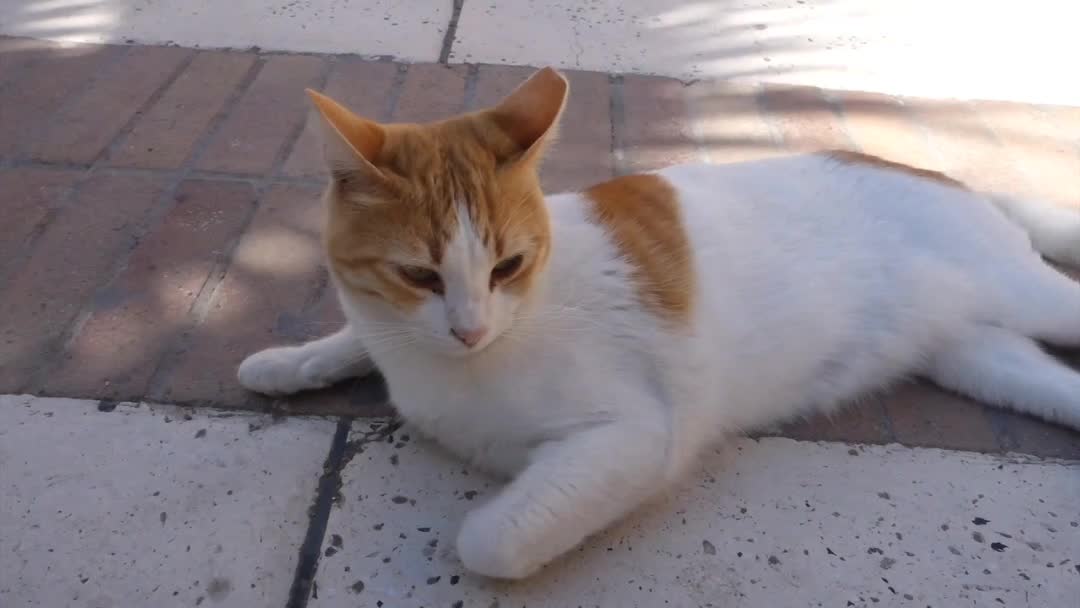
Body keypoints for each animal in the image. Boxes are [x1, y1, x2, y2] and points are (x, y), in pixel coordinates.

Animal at [236, 65, 1080, 578]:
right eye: (419, 275)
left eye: (507, 265)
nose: (470, 330)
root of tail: (947, 178)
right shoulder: (393, 327)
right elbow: (355, 338)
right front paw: (288, 362)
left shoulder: (637, 435)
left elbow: (488, 540)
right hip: (983, 360)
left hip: (1027, 296)